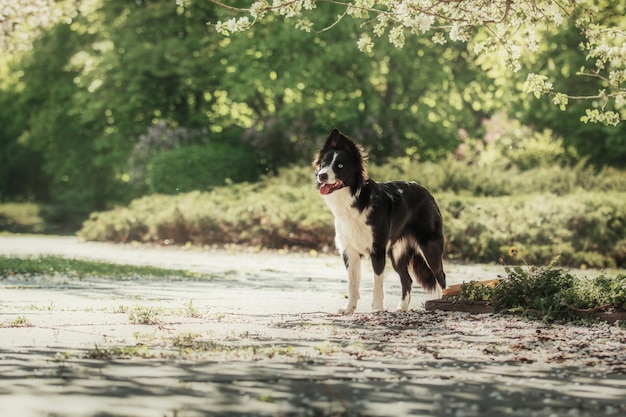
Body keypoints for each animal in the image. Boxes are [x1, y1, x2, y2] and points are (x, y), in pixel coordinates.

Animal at [312, 128, 444, 314]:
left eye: (340, 166)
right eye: (323, 163)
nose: (322, 175)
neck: (354, 200)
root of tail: (428, 193)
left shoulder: (378, 249)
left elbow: (377, 283)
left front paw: (377, 309)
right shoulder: (350, 251)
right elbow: (352, 284)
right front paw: (349, 309)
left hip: (430, 247)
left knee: (440, 276)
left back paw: (440, 303)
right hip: (396, 253)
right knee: (407, 279)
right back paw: (402, 307)